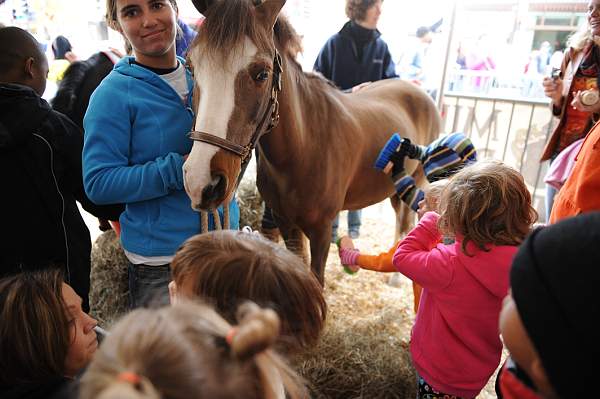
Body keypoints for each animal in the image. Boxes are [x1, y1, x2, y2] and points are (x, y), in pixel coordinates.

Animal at [183, 0, 440, 284]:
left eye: (262, 73)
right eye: (191, 67)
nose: (202, 183)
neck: (304, 147)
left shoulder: (321, 231)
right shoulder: (287, 224)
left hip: (414, 179)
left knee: (405, 220)